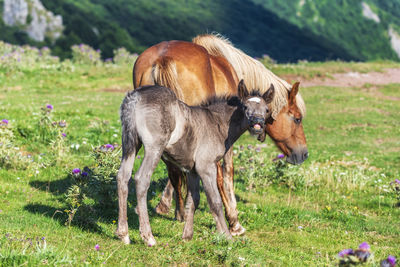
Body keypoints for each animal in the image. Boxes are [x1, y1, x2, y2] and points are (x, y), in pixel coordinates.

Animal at [114, 80, 274, 247]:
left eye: (266, 109)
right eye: (245, 107)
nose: (257, 124)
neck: (217, 123)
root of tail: (135, 97)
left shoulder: (192, 170)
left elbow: (193, 200)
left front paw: (187, 235)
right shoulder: (206, 167)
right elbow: (215, 201)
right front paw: (227, 236)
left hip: (130, 145)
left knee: (122, 177)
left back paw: (123, 234)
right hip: (154, 148)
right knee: (141, 179)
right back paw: (148, 236)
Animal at [133, 33, 308, 237]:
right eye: (297, 119)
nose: (304, 154)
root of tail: (163, 59)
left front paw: (165, 204)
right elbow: (226, 174)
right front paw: (233, 219)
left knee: (172, 167)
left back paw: (180, 213)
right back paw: (231, 221)